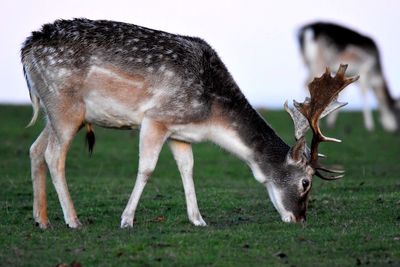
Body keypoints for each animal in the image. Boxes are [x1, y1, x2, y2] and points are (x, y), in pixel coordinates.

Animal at [21, 18, 356, 230]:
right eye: (306, 182)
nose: (300, 219)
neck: (210, 116)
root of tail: (26, 48)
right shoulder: (156, 118)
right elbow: (147, 169)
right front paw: (126, 220)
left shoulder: (180, 133)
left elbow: (187, 169)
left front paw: (198, 219)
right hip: (65, 104)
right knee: (53, 155)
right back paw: (73, 220)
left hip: (61, 111)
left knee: (35, 149)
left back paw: (42, 220)